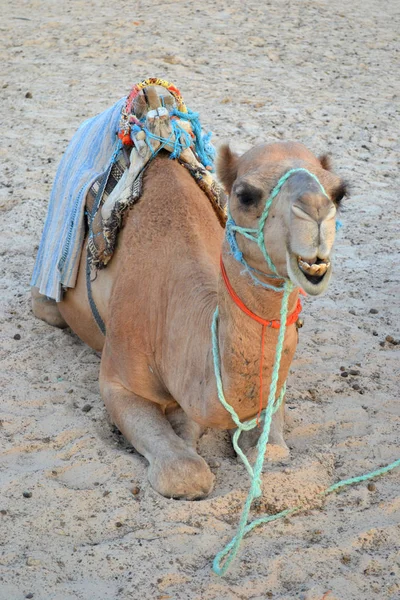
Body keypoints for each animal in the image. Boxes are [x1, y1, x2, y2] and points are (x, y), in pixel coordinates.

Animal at [32, 134, 346, 500]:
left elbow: (272, 449)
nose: (316, 212)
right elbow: (185, 470)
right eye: (245, 195)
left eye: (339, 193)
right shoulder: (118, 379)